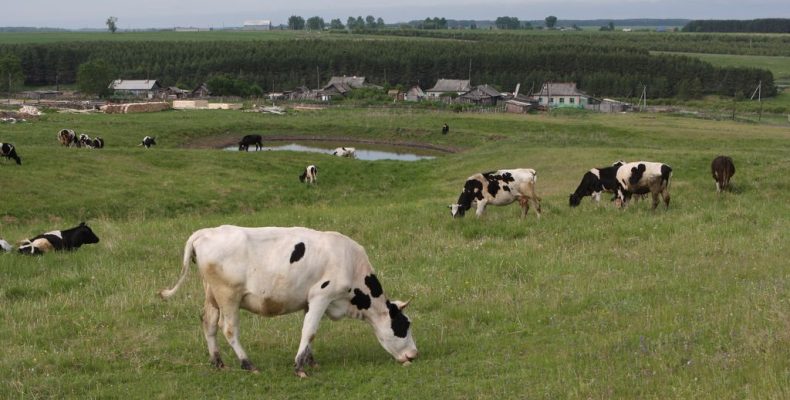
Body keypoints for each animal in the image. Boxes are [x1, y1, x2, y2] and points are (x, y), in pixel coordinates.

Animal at [160, 225, 420, 378]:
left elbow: (310, 331)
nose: (414, 355)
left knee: (209, 324)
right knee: (229, 329)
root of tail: (205, 232)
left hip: (212, 296)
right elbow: (309, 331)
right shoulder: (321, 296)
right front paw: (299, 367)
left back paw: (218, 362)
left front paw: (310, 361)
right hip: (228, 296)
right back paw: (247, 363)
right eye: (404, 326)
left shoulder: (309, 302)